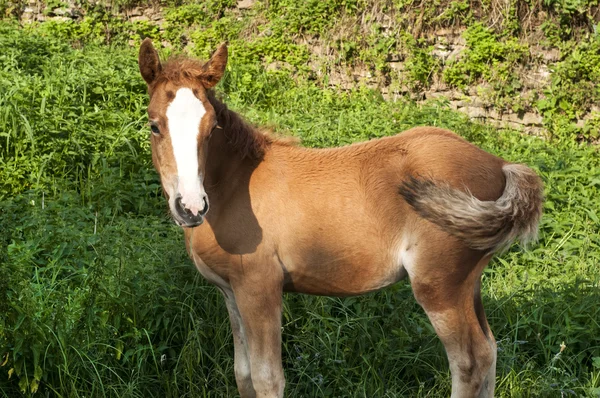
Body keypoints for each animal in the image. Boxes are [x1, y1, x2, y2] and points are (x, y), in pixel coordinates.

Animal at [137, 39, 544, 398]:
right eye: (154, 125)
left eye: (211, 129)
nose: (191, 207)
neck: (235, 184)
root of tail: (500, 165)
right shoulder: (230, 292)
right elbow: (244, 375)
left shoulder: (260, 286)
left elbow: (268, 379)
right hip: (468, 282)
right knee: (490, 350)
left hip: (440, 285)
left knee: (471, 362)